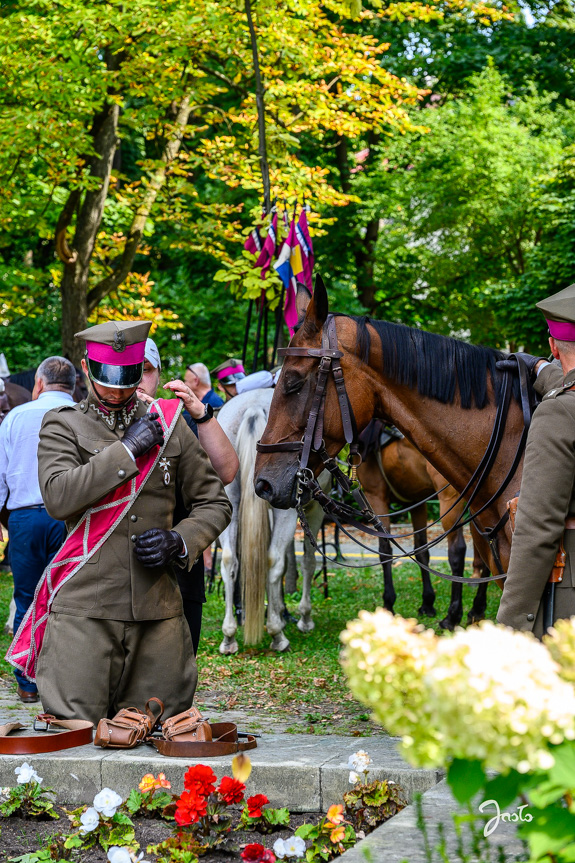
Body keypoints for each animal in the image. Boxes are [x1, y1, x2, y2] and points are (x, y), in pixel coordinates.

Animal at [217, 392, 324, 656]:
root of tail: (254, 406)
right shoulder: (313, 510)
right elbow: (307, 561)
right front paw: (303, 617)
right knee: (272, 560)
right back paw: (277, 634)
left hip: (229, 500)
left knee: (229, 561)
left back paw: (229, 636)